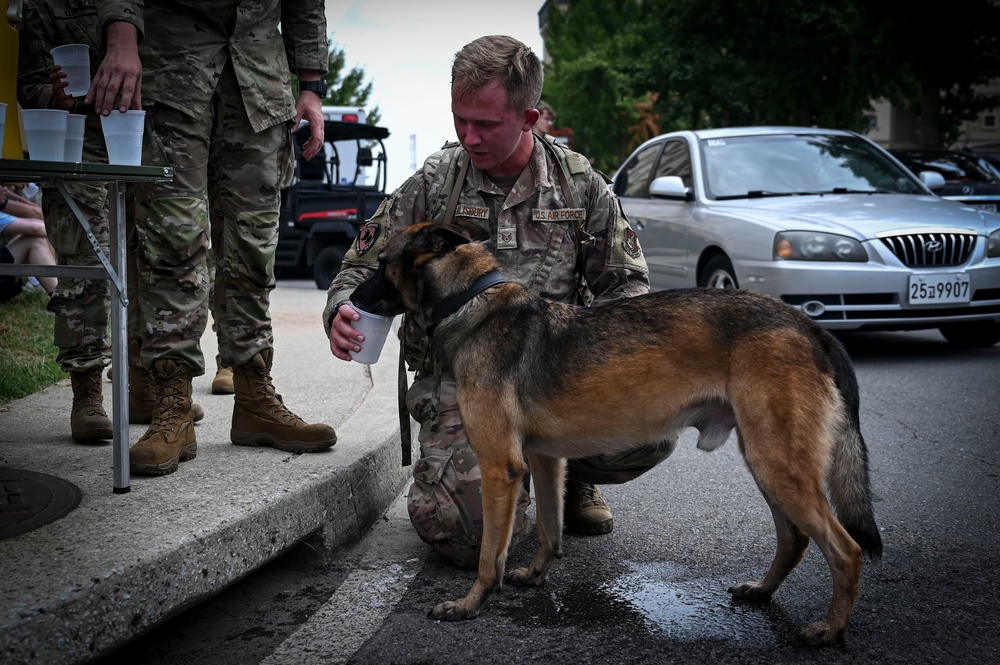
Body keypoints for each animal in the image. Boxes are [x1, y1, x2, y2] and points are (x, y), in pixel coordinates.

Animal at [352, 220, 884, 644]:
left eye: (381, 263)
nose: (350, 301)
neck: (472, 298)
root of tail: (808, 325)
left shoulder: (499, 468)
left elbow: (488, 558)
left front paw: (470, 604)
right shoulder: (543, 461)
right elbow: (549, 530)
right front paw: (537, 574)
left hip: (779, 466)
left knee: (847, 550)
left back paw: (832, 629)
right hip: (767, 462)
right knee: (794, 540)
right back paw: (763, 591)